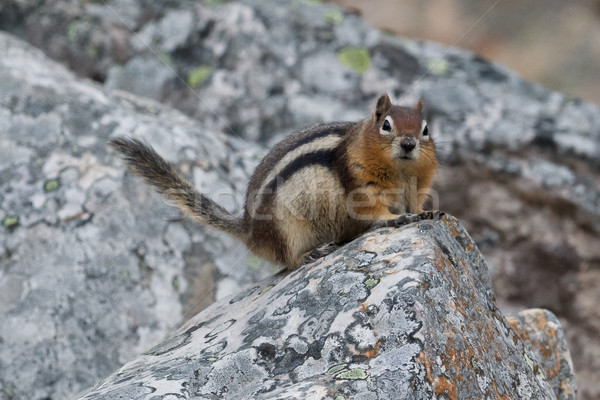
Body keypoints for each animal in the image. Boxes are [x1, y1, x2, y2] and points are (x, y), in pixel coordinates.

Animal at [110, 94, 436, 268]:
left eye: (425, 129)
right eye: (386, 125)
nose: (408, 144)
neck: (400, 173)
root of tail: (249, 230)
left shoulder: (416, 188)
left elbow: (415, 205)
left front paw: (424, 213)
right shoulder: (360, 185)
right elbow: (373, 210)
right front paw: (395, 218)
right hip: (287, 228)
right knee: (289, 259)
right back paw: (312, 253)